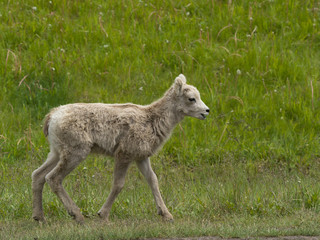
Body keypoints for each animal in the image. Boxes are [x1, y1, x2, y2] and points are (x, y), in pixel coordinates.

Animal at [31, 74, 210, 223]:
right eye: (191, 98)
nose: (206, 111)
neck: (152, 121)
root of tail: (51, 117)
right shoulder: (124, 155)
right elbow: (118, 184)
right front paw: (103, 215)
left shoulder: (141, 157)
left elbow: (153, 180)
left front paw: (167, 215)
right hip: (75, 153)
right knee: (53, 178)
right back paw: (77, 215)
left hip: (56, 152)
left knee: (38, 175)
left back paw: (39, 217)